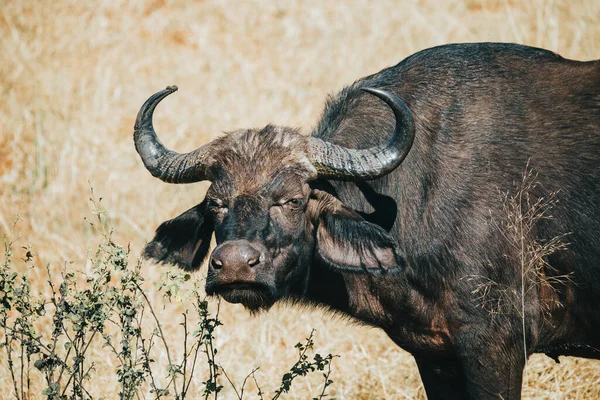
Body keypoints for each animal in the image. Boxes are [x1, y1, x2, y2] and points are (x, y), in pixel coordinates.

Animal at [135, 42, 600, 398]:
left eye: (293, 200)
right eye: (216, 203)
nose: (233, 265)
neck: (417, 193)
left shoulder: (495, 344)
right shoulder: (436, 355)